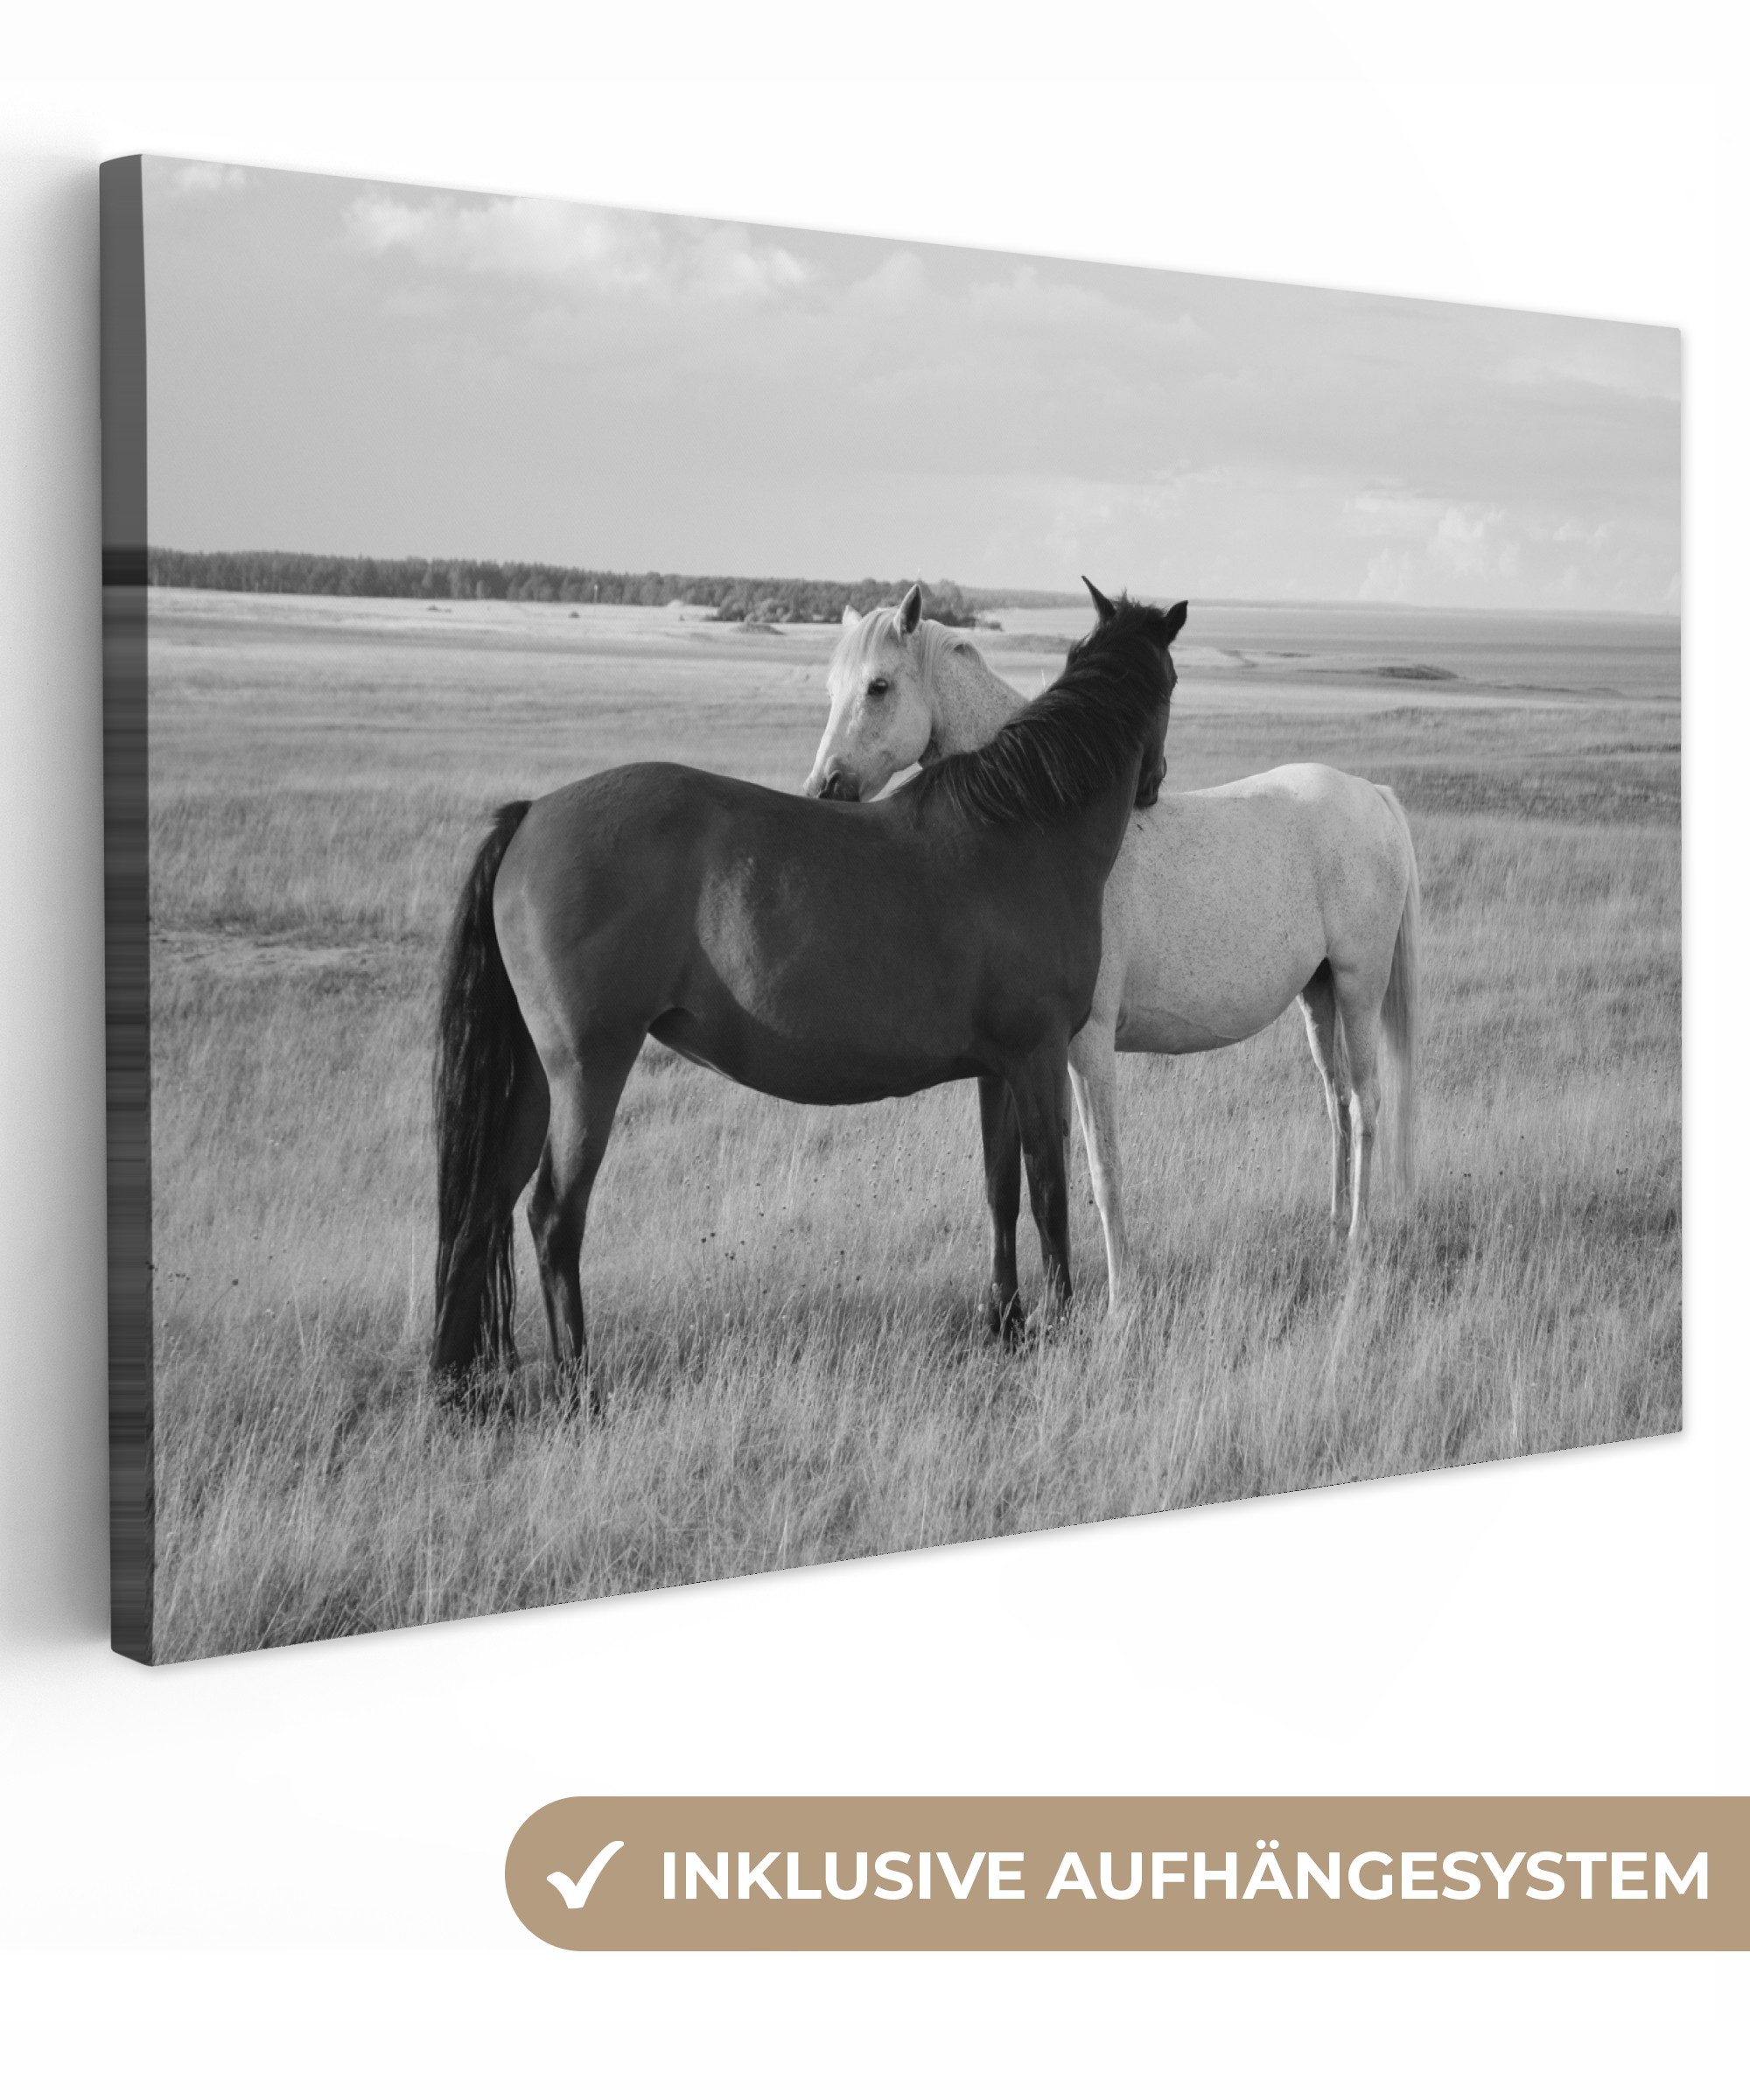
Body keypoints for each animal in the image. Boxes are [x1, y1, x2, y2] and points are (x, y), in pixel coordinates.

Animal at [430, 584, 1182, 1399]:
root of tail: (531, 814)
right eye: (1174, 683)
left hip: (535, 1080)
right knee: (553, 1217)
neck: (1024, 827)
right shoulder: (1039, 1058)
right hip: (587, 1072)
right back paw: (579, 1391)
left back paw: (454, 1389)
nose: (1155, 783)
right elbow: (1049, 1195)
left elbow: (1000, 1192)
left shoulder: (998, 1069)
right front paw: (1063, 1327)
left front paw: (1007, 1326)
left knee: (481, 1209)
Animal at [805, 585, 1420, 1316]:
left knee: (1367, 1104)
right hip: (1318, 995)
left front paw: (1122, 1299)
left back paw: (1356, 1245)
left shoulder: (1086, 1045)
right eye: (832, 687)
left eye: (879, 685)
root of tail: (1373, 794)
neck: (1042, 822)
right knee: (1337, 1104)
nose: (823, 789)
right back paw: (1330, 1232)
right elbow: (1017, 1177)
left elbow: (1099, 1169)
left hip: (1359, 986)